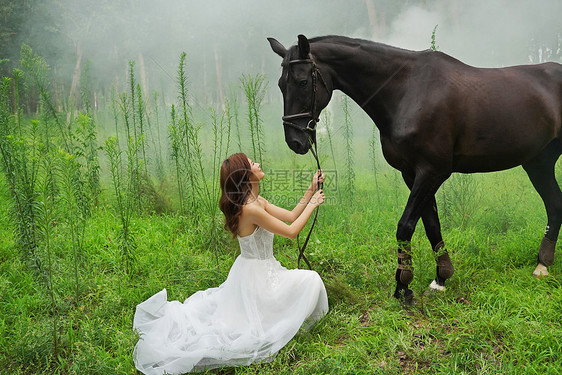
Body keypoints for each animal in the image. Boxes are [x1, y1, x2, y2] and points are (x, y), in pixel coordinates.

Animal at [266, 33, 560, 302]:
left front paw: (403, 283)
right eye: (281, 84)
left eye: (303, 82)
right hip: (539, 163)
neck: (408, 91)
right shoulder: (412, 174)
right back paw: (543, 264)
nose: (295, 141)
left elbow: (406, 225)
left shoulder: (432, 172)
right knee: (554, 203)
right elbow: (431, 224)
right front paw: (441, 278)